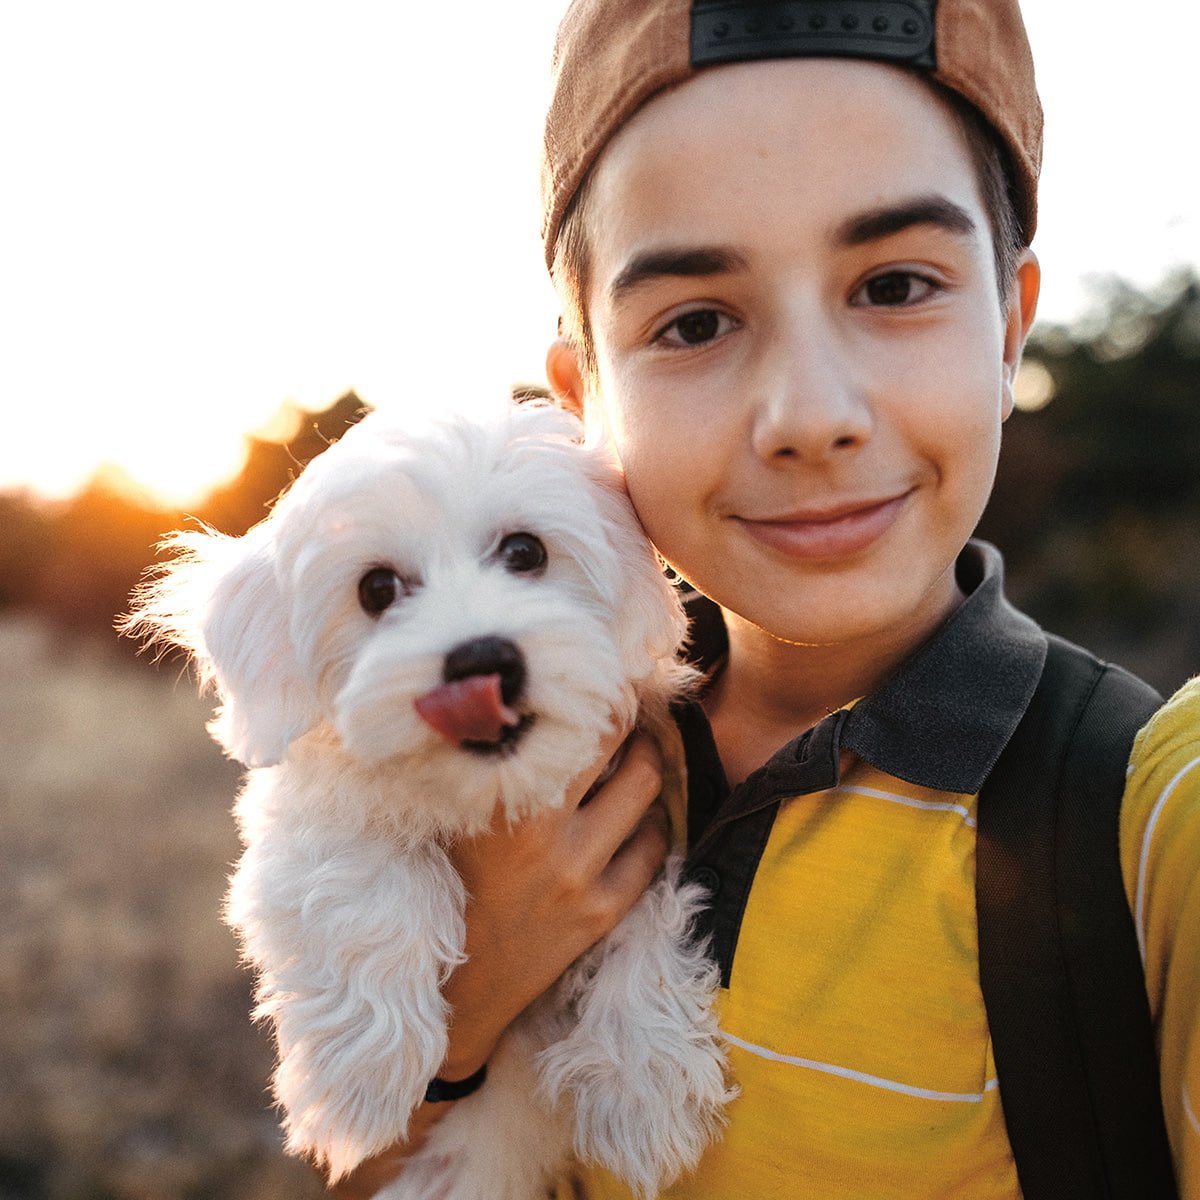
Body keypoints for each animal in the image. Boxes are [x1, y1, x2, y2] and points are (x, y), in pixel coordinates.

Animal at [129, 405, 729, 1200]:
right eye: (376, 590)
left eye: (525, 552)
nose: (482, 660)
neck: (493, 796)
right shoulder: (308, 815)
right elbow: (361, 882)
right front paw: (363, 1075)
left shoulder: (648, 817)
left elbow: (651, 914)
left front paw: (640, 1082)